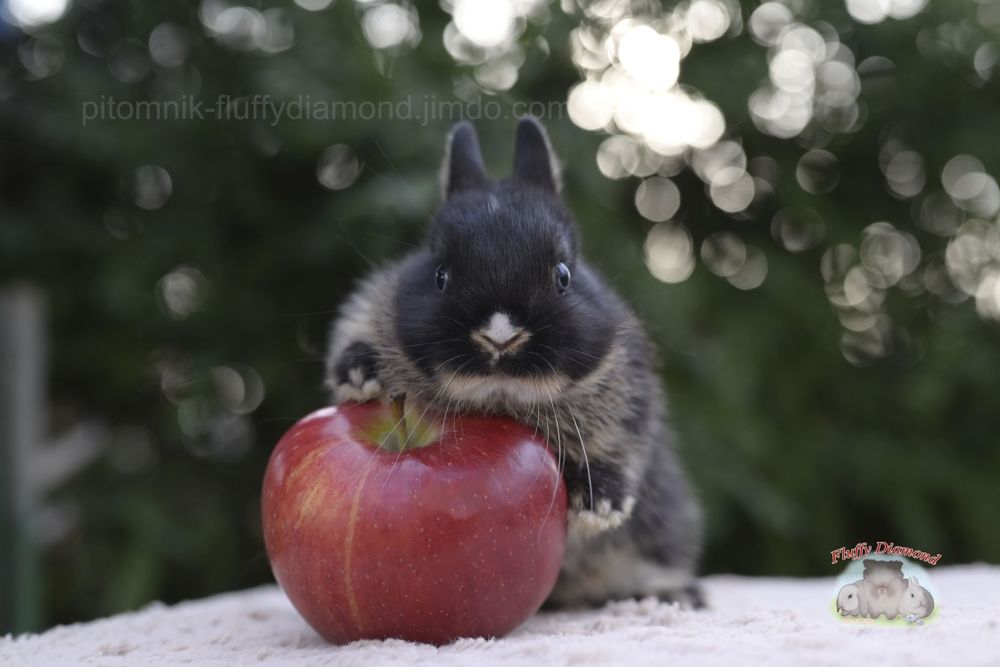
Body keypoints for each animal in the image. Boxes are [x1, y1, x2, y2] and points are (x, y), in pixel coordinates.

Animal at [325, 118, 703, 609]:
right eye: (440, 275)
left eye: (563, 274)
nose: (500, 337)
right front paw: (359, 372)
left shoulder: (628, 405)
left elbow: (618, 449)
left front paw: (599, 507)